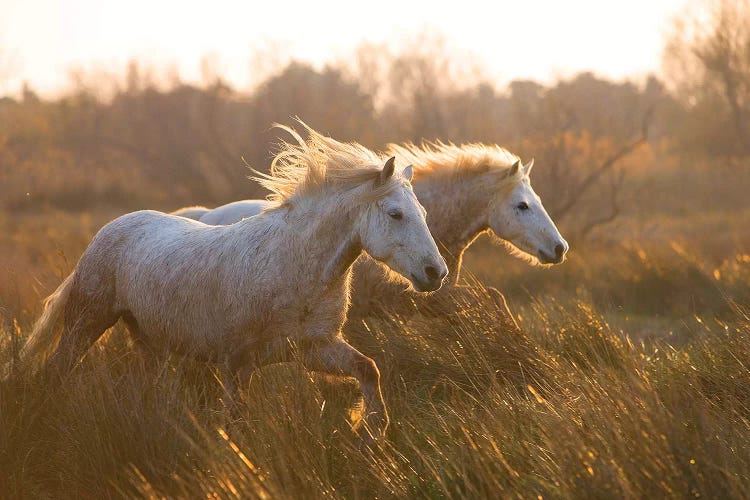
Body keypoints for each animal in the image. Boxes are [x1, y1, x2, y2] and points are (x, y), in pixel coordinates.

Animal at [20, 125, 450, 442]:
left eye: (424, 213)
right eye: (395, 214)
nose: (436, 273)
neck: (291, 266)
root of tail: (107, 231)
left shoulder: (315, 348)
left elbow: (369, 370)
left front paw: (374, 432)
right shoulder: (238, 363)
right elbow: (237, 424)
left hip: (149, 342)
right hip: (87, 322)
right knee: (56, 370)